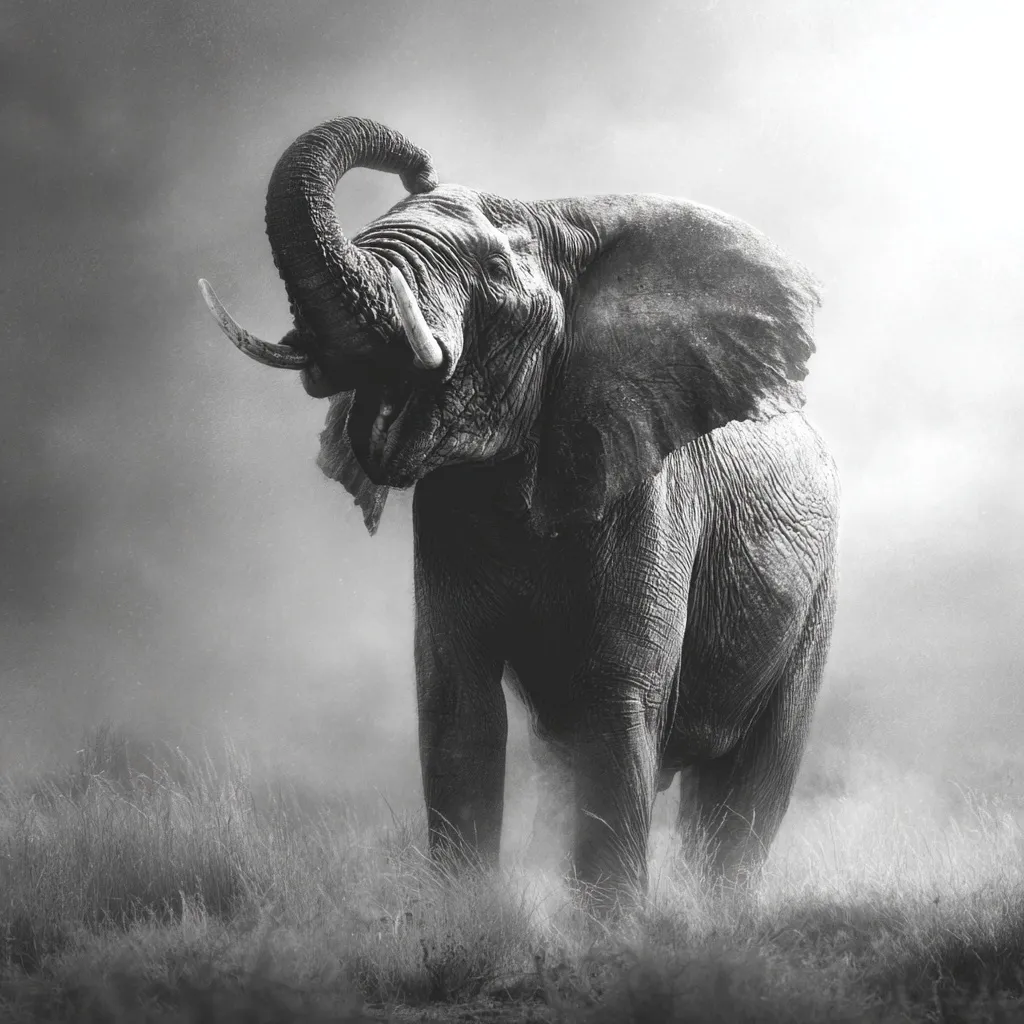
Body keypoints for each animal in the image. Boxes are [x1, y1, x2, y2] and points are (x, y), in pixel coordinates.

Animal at [199, 116, 839, 901]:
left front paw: (611, 926)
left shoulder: (651, 500)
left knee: (751, 783)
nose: (418, 165)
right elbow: (458, 709)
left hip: (816, 598)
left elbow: (616, 702)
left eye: (498, 276)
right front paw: (467, 917)